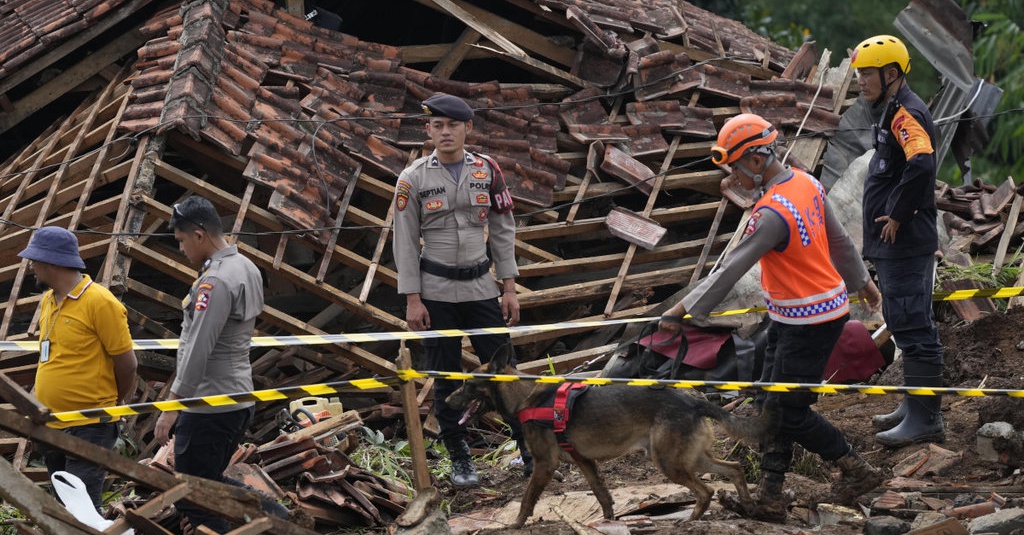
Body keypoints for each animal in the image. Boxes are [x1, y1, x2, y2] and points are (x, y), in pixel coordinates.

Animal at [448, 344, 770, 524]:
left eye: (466, 384)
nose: (447, 401)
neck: (524, 396)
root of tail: (695, 401)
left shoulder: (544, 465)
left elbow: (527, 498)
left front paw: (515, 524)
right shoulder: (584, 462)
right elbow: (602, 495)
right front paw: (608, 521)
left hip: (669, 462)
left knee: (706, 491)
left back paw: (691, 520)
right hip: (689, 458)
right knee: (734, 467)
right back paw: (748, 504)